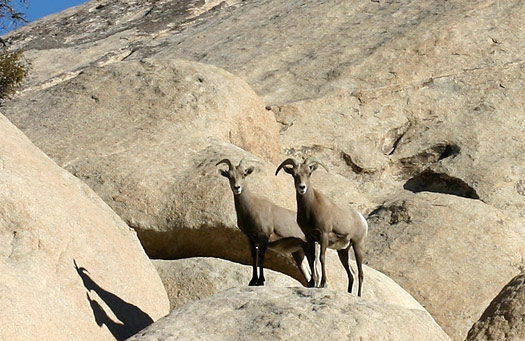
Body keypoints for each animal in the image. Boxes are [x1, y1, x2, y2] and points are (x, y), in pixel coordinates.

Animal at [216, 158, 312, 286]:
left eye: (244, 175)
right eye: (229, 176)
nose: (237, 188)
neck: (251, 208)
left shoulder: (263, 237)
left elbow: (261, 257)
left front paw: (260, 281)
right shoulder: (250, 238)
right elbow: (254, 257)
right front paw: (253, 281)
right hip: (299, 252)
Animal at [274, 157, 368, 294]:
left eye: (309, 173)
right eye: (294, 174)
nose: (302, 187)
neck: (311, 209)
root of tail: (362, 220)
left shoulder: (323, 235)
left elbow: (321, 258)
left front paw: (324, 284)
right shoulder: (309, 238)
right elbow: (312, 258)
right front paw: (313, 284)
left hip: (358, 245)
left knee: (360, 273)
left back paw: (359, 296)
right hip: (343, 251)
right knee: (351, 274)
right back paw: (349, 292)